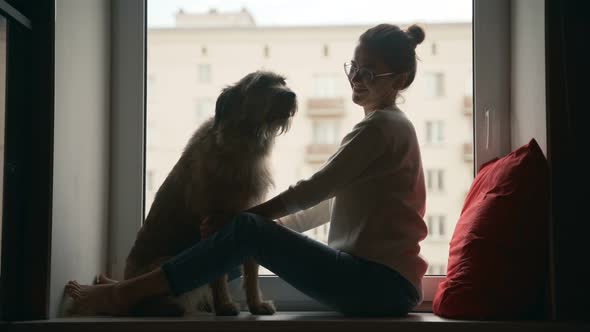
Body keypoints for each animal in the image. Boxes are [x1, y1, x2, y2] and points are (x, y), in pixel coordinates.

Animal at [123, 70, 298, 316]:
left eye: (282, 81)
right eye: (261, 83)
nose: (291, 95)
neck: (243, 145)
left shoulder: (246, 218)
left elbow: (251, 271)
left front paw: (256, 304)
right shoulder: (212, 222)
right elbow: (218, 273)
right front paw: (224, 305)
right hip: (164, 262)